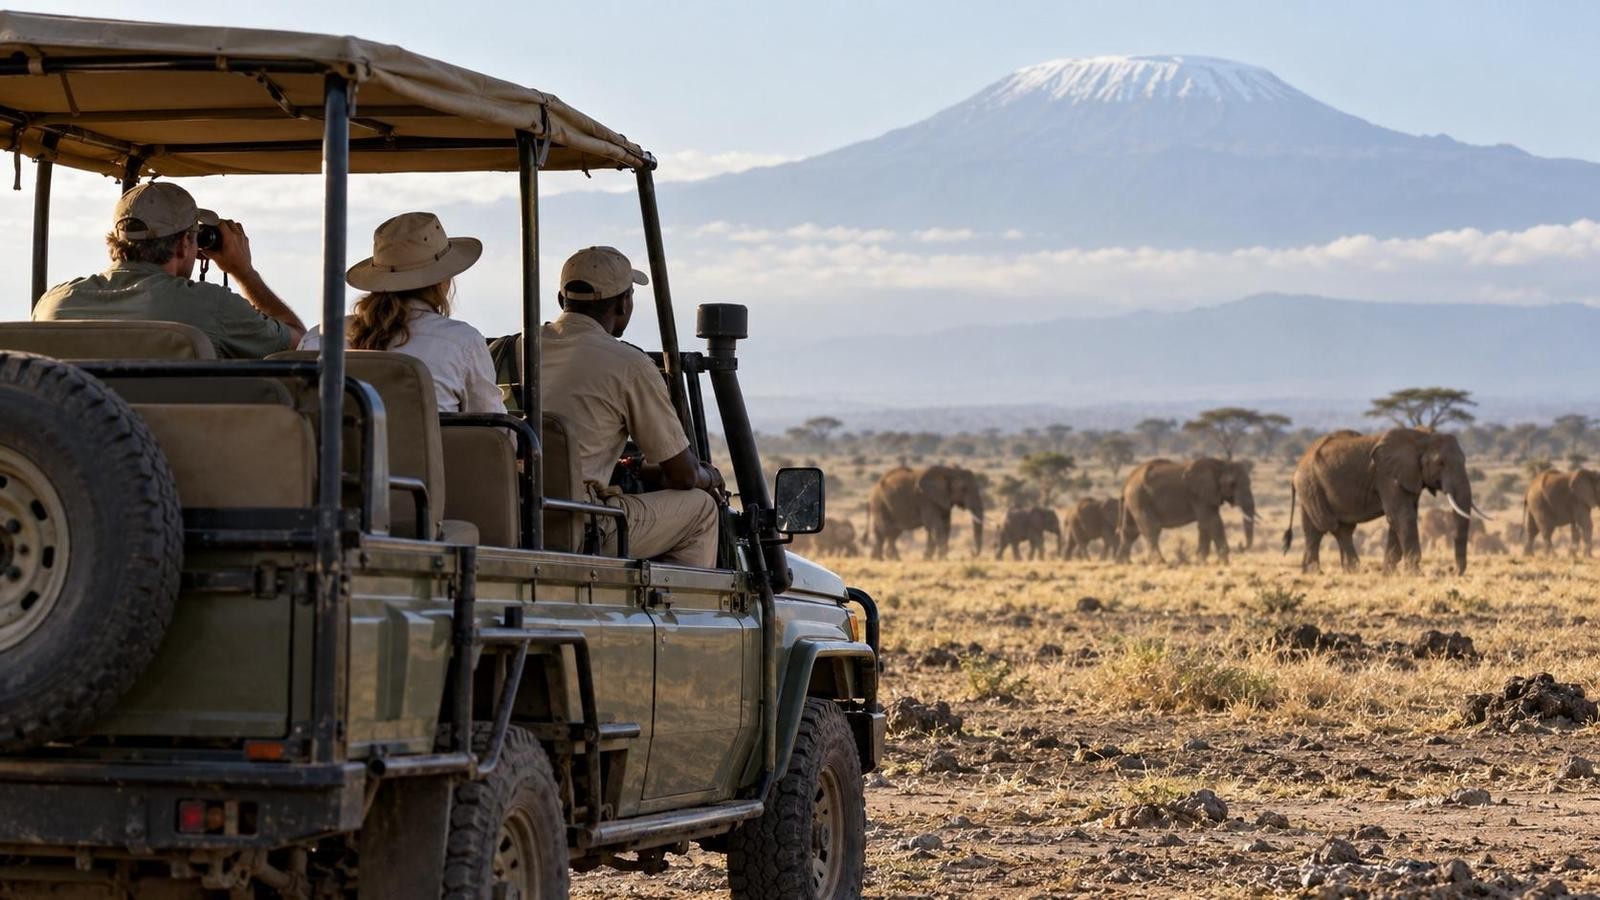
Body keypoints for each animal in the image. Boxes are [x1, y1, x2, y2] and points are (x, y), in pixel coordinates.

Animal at [1116, 458, 1258, 565]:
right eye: (1233, 484)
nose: (1241, 545)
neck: (1221, 464)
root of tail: (1127, 481)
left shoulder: (1209, 496)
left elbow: (1205, 524)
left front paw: (1201, 562)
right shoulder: (1200, 495)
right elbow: (1212, 521)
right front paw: (1224, 563)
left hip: (1133, 501)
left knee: (1130, 531)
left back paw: (1124, 563)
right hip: (1139, 498)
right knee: (1152, 529)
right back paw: (1161, 563)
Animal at [1284, 428, 1486, 575]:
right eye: (1441, 463)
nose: (1452, 570)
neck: (1422, 436)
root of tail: (1295, 471)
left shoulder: (1409, 476)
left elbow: (1401, 517)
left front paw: (1390, 573)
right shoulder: (1387, 475)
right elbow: (1402, 516)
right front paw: (1415, 574)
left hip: (1310, 489)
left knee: (1318, 530)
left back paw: (1322, 572)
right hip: (1311, 485)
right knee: (1331, 527)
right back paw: (1346, 571)